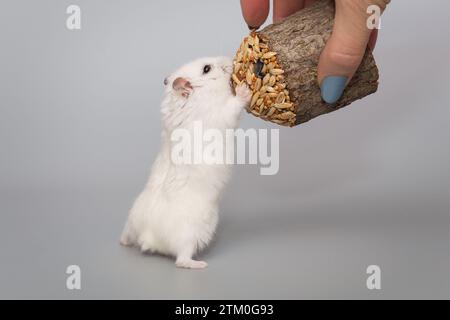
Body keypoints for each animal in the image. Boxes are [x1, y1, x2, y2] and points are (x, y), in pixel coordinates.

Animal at [119, 57, 251, 268]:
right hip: (192, 235)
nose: (230, 60)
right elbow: (234, 106)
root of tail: (149, 237)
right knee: (181, 260)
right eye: (207, 69)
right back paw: (200, 264)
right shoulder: (221, 115)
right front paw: (244, 89)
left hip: (132, 220)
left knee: (126, 235)